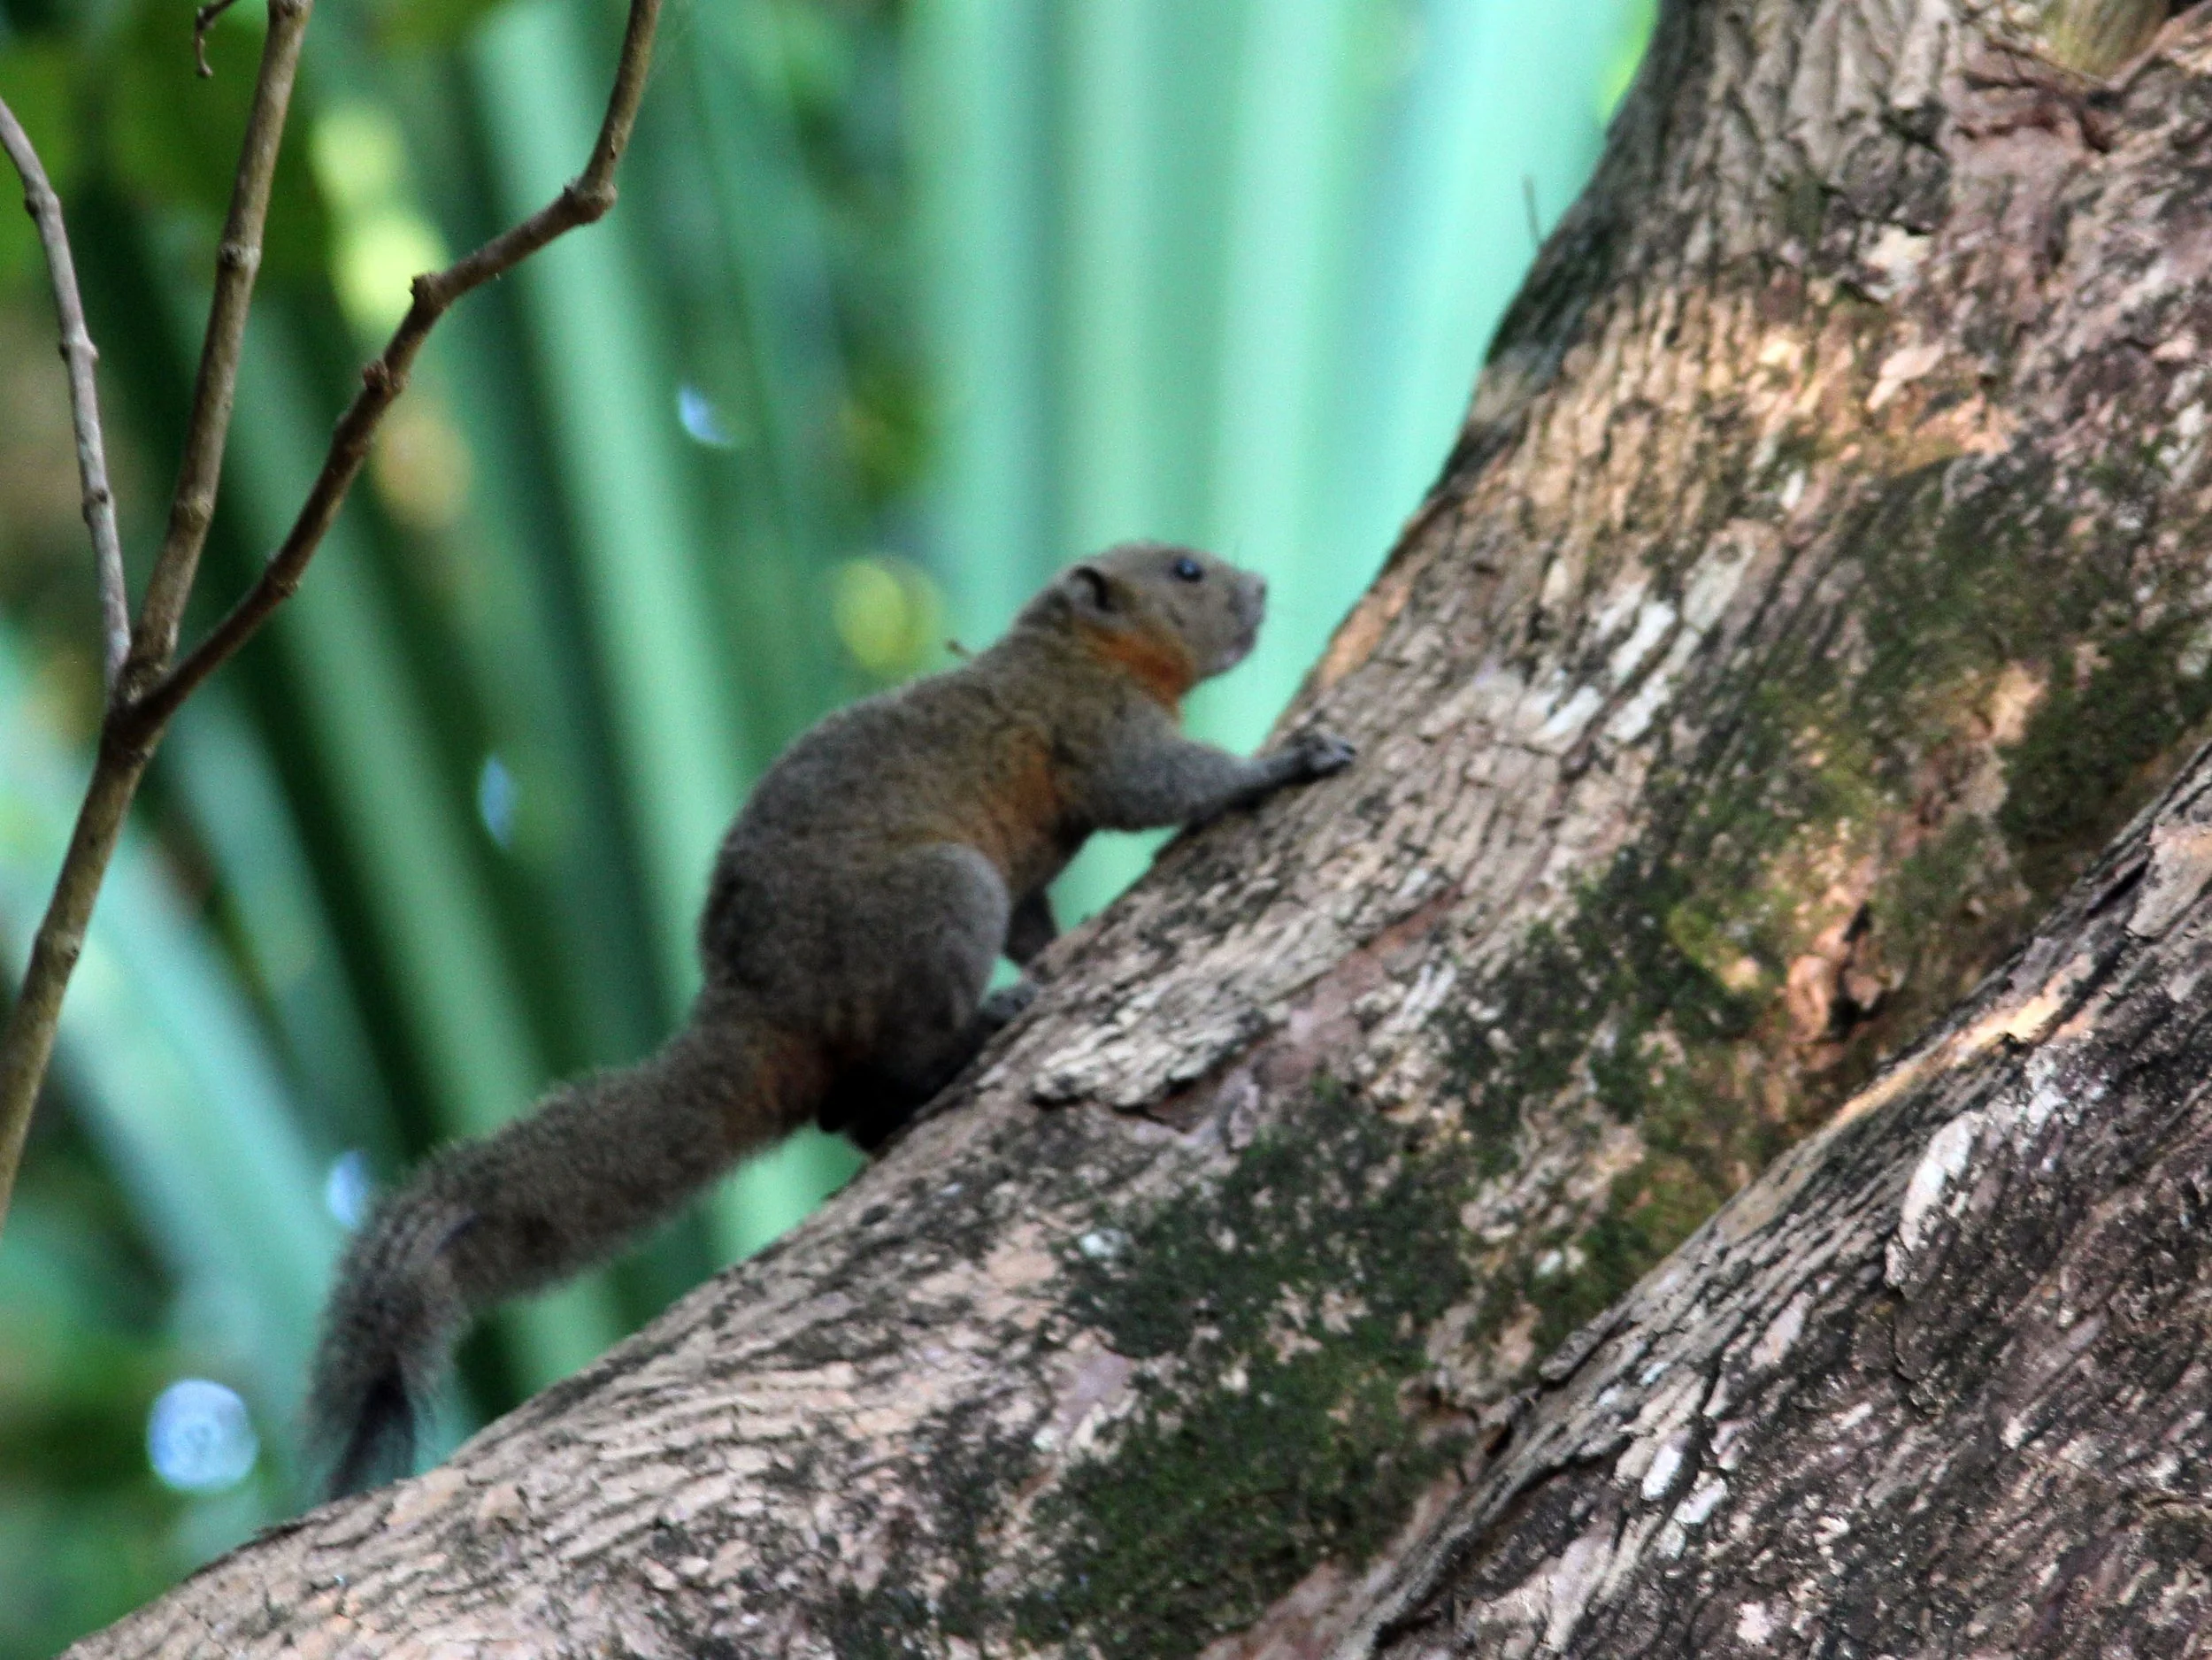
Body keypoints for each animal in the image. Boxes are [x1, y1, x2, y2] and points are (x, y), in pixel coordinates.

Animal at [306, 541, 1354, 1498]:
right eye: (1185, 570)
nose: (1262, 587)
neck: (1073, 648)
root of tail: (758, 1007)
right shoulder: (1095, 727)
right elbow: (1168, 786)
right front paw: (1286, 763)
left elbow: (1036, 921)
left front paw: (1055, 946)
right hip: (942, 893)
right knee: (892, 1068)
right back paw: (980, 1030)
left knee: (846, 1108)